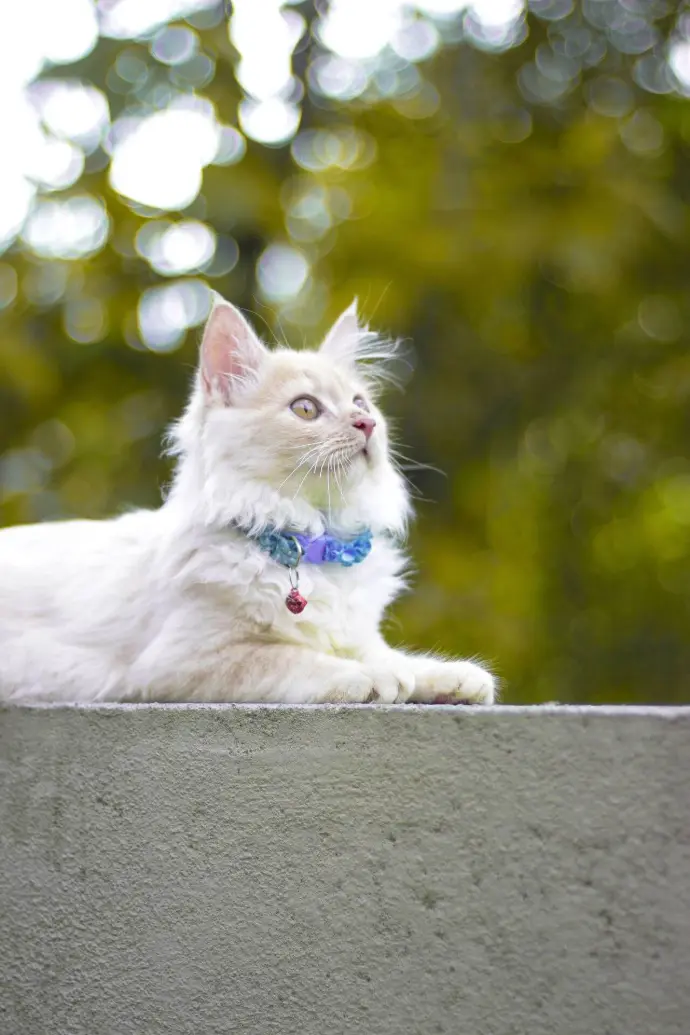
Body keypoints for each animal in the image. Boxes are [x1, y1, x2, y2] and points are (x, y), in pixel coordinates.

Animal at [0, 296, 496, 707]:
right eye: (306, 409)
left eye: (361, 403)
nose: (366, 425)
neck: (310, 541)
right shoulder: (182, 661)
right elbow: (293, 658)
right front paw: (371, 679)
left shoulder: (359, 636)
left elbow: (395, 657)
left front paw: (452, 679)